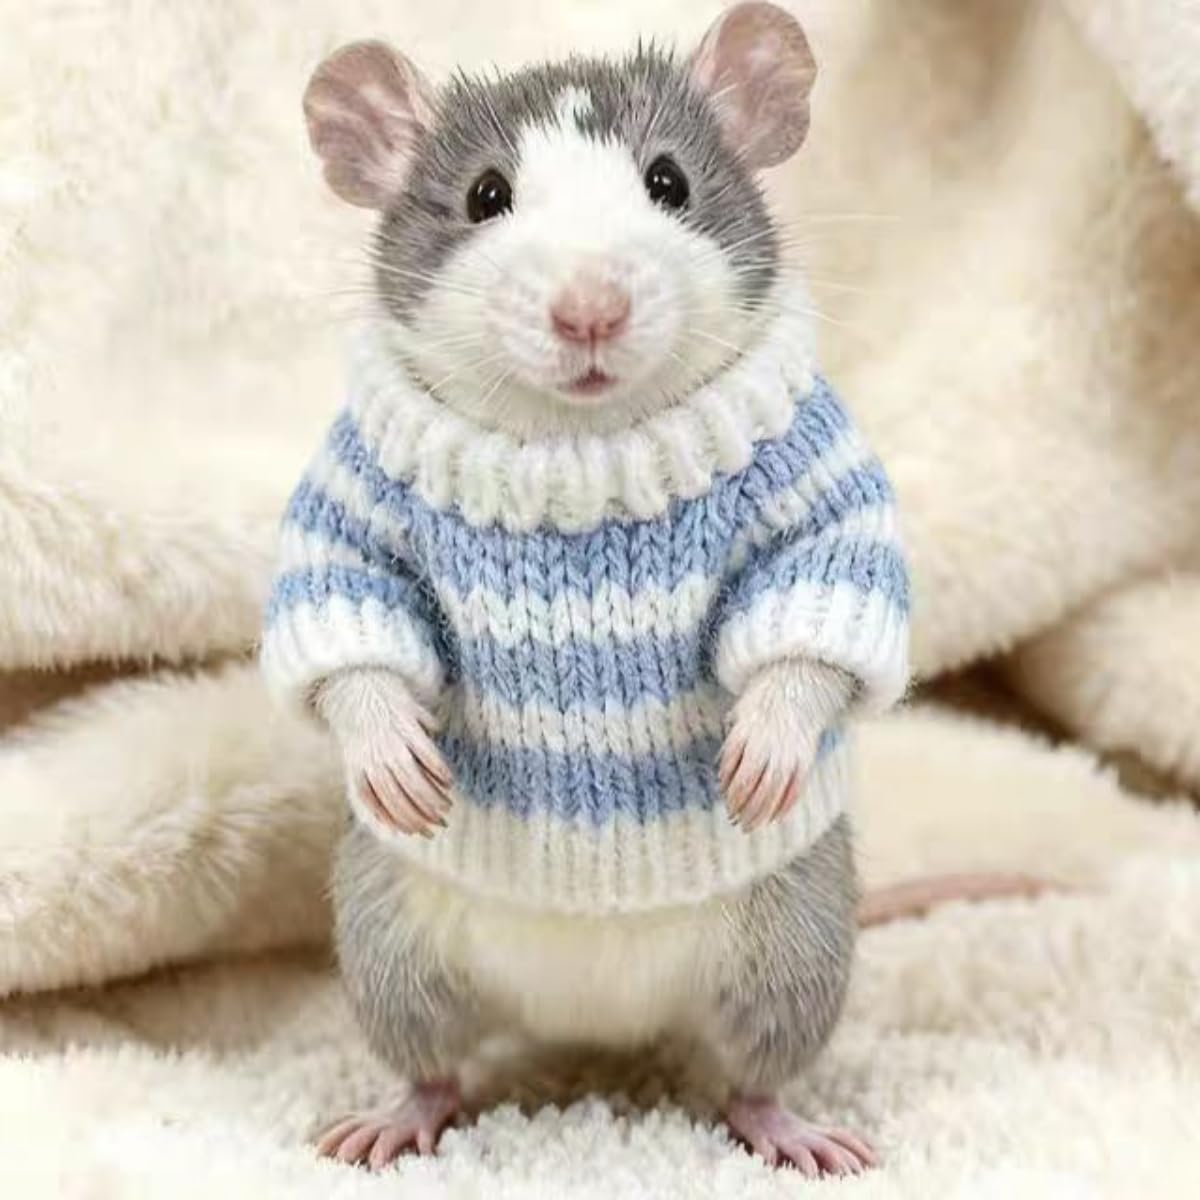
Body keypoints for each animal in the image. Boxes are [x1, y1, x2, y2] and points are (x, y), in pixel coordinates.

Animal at [269, 1, 1045, 1177]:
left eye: (668, 181)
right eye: (485, 195)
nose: (590, 307)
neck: (582, 447)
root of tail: (595, 1025)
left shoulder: (810, 468)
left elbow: (820, 589)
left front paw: (772, 734)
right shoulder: (359, 484)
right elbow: (343, 599)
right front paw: (385, 744)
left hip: (797, 940)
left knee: (757, 1061)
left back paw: (782, 1122)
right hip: (385, 933)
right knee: (428, 1048)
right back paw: (404, 1109)